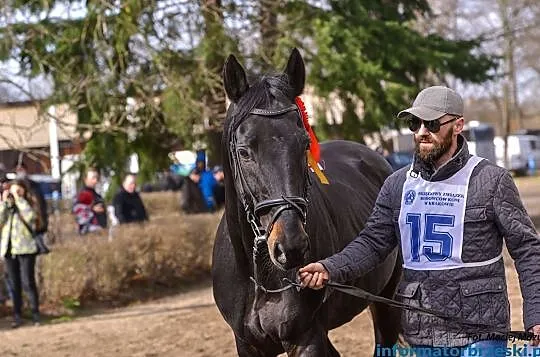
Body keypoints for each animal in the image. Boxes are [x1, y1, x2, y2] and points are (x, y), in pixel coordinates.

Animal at [211, 48, 400, 354]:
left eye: (304, 144)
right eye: (244, 151)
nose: (291, 247)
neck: (261, 280)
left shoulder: (306, 338)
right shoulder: (247, 345)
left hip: (387, 302)